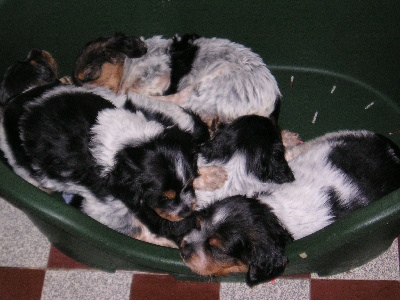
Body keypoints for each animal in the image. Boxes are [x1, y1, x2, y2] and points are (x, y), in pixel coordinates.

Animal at [73, 32, 282, 126]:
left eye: (90, 75)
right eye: (77, 81)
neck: (131, 63)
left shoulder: (158, 77)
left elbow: (131, 89)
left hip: (204, 86)